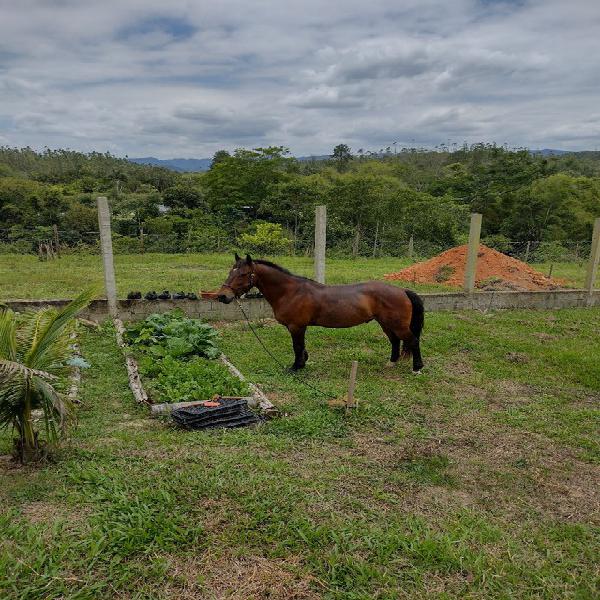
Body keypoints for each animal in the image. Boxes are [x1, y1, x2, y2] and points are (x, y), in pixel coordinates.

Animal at [213, 254, 424, 376]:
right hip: (386, 324)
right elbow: (302, 347)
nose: (223, 296)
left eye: (242, 274)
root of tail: (402, 290)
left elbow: (297, 347)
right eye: (230, 271)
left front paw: (296, 367)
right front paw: (303, 362)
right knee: (395, 341)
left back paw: (417, 368)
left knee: (413, 341)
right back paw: (391, 363)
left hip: (397, 325)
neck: (290, 291)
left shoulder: (296, 326)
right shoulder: (300, 327)